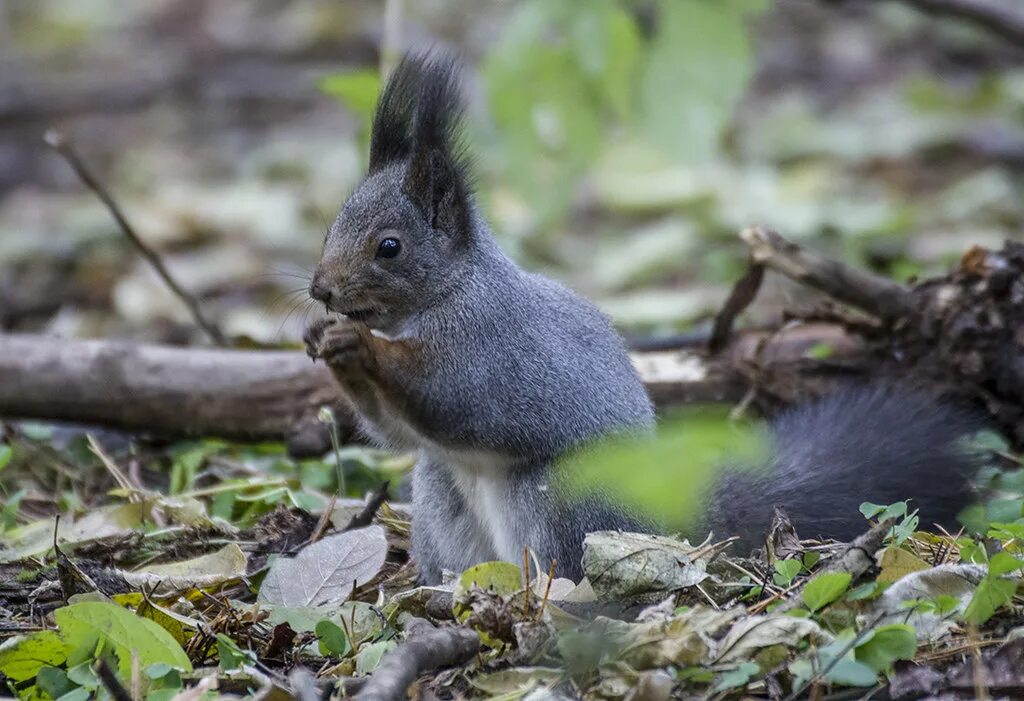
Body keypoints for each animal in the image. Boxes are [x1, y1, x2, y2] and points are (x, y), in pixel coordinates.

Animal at [303, 51, 983, 581]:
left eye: (389, 247)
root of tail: (662, 525)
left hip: (556, 502)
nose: (321, 290)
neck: (449, 292)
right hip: (441, 495)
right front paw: (327, 342)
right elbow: (395, 433)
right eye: (333, 225)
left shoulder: (487, 346)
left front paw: (364, 347)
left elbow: (446, 393)